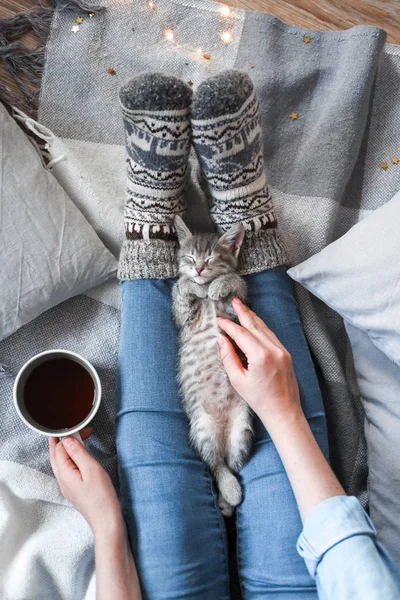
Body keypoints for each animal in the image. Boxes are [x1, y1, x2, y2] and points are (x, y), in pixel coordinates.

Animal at [171, 216, 253, 516]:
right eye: (190, 257)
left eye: (211, 259)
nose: (198, 269)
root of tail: (222, 431)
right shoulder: (183, 317)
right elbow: (180, 287)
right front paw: (193, 283)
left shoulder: (237, 306)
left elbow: (236, 279)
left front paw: (218, 284)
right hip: (202, 429)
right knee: (216, 465)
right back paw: (229, 492)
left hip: (242, 429)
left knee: (230, 465)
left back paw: (228, 499)